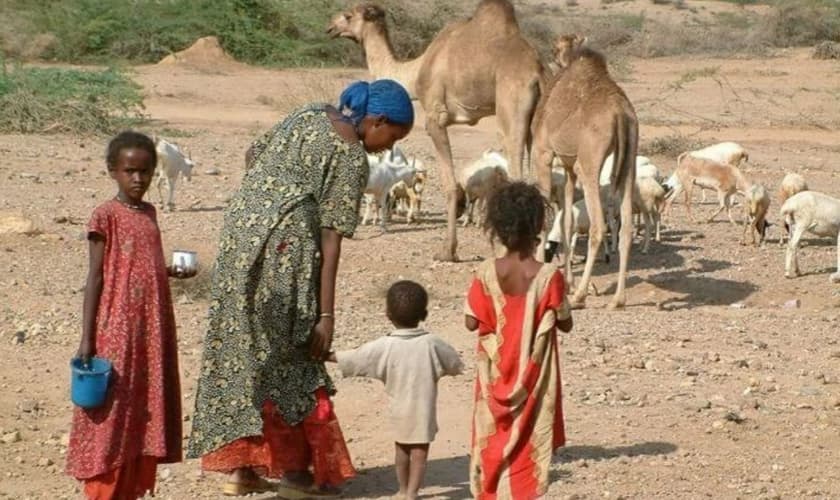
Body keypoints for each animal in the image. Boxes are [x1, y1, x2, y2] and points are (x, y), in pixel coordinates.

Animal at [328, 1, 544, 262]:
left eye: (348, 15)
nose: (330, 27)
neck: (416, 70)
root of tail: (537, 73)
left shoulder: (435, 118)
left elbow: (449, 185)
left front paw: (448, 251)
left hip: (511, 106)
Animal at [536, 34, 640, 308]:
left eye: (555, 48)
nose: (552, 54)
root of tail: (621, 114)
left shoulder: (543, 152)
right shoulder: (569, 166)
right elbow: (566, 220)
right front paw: (567, 281)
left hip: (590, 162)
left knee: (597, 226)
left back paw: (581, 294)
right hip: (629, 160)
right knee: (625, 228)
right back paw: (618, 299)